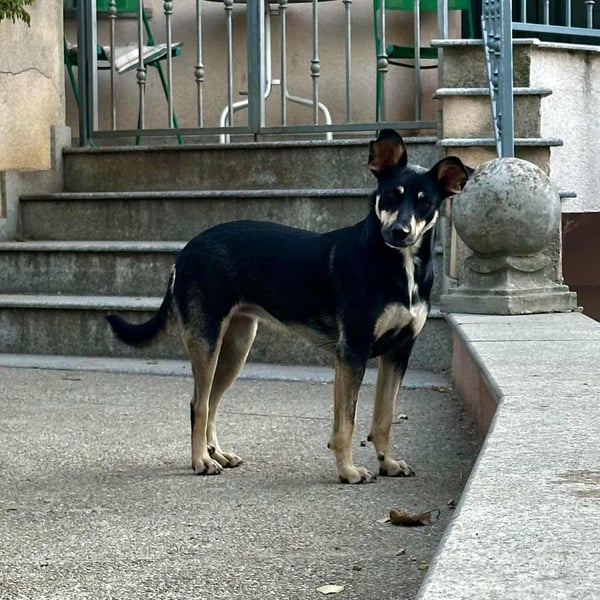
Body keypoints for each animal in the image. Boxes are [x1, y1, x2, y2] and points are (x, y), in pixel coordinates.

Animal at [106, 130, 470, 484]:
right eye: (392, 195)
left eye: (426, 203)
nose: (399, 232)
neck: (396, 265)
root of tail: (187, 249)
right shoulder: (352, 351)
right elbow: (346, 423)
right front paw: (348, 472)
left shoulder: (398, 351)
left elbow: (384, 417)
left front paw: (388, 464)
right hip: (206, 340)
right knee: (198, 403)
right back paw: (200, 461)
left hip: (236, 346)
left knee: (210, 402)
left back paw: (216, 453)